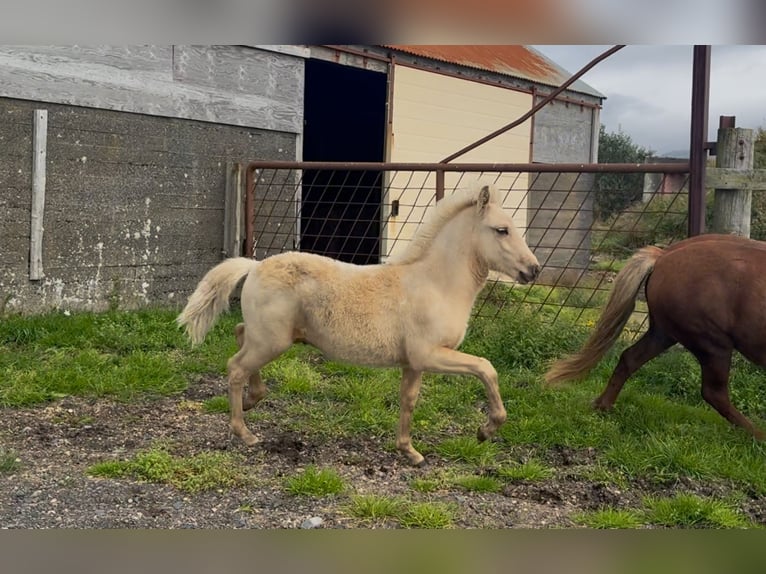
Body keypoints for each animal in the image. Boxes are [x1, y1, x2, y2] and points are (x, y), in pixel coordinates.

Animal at [178, 182, 540, 465]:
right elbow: (486, 368)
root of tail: (254, 266)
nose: (533, 270)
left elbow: (409, 400)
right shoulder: (430, 355)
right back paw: (245, 432)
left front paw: (409, 452)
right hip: (272, 341)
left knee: (240, 336)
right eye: (502, 229)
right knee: (236, 367)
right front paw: (486, 430)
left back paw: (253, 399)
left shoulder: (414, 363)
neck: (436, 284)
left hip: (268, 337)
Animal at [545, 233, 766, 440]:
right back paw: (758, 435)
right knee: (714, 392)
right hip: (712, 342)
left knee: (630, 358)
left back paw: (603, 405)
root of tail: (662, 256)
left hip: (664, 333)